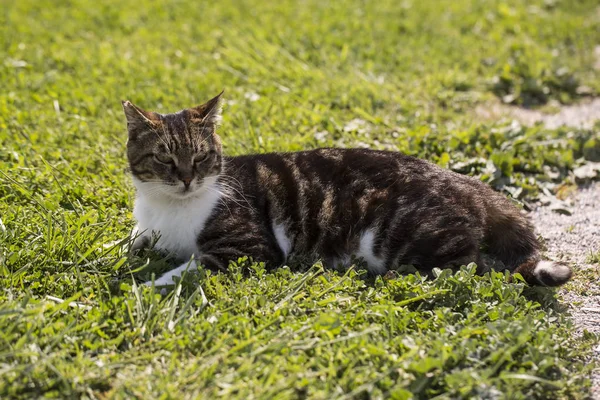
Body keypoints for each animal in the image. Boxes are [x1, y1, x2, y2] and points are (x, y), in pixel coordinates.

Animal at [122, 92, 572, 288]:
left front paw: (145, 288)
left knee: (473, 266)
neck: (168, 207)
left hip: (401, 239)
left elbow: (185, 270)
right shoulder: (144, 233)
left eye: (200, 157)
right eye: (165, 158)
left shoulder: (247, 250)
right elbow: (126, 245)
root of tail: (463, 180)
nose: (186, 178)